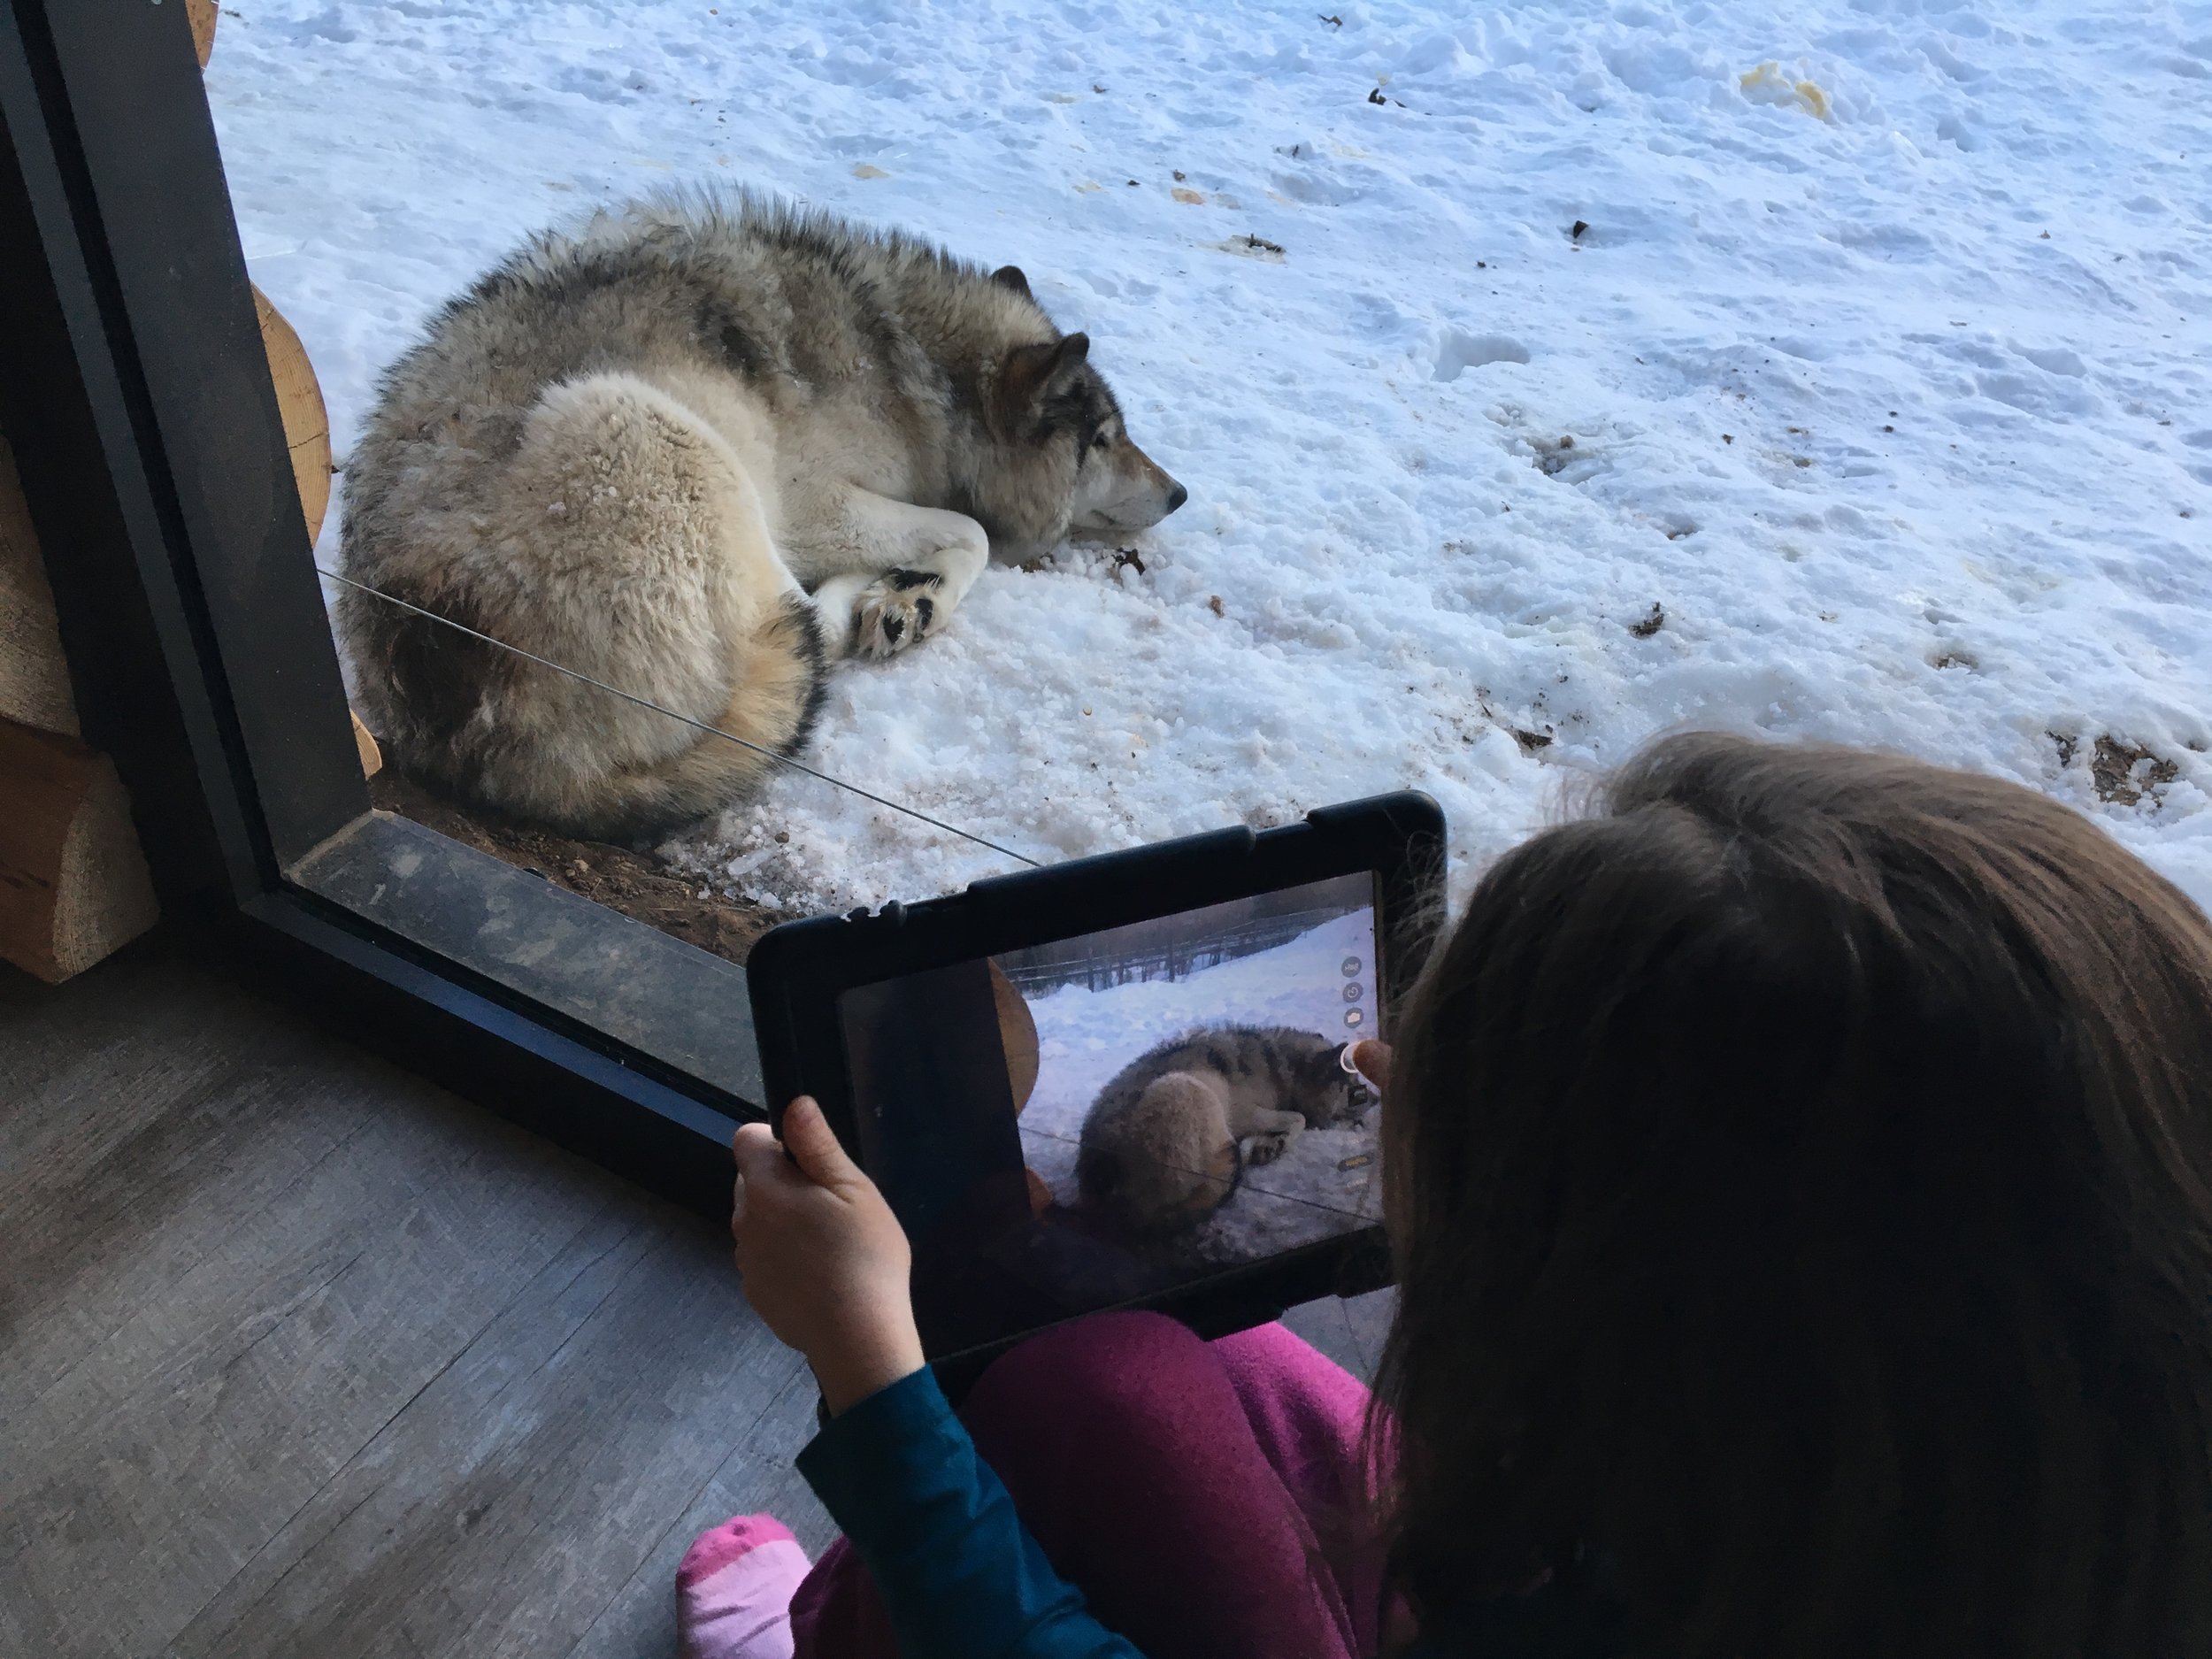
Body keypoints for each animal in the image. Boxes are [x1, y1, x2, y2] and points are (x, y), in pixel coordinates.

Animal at [334, 193, 1186, 845]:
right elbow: (968, 532)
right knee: (808, 626)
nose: (1179, 494)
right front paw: (918, 596)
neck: (909, 367)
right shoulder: (813, 504)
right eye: (1104, 440)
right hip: (662, 433)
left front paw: (907, 591)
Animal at [1075, 1035, 1363, 1239]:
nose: (1372, 1100)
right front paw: (1271, 1145)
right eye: (1354, 1092)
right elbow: (1298, 1119)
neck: (1280, 1068)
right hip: (1188, 1088)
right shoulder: (1247, 1114)